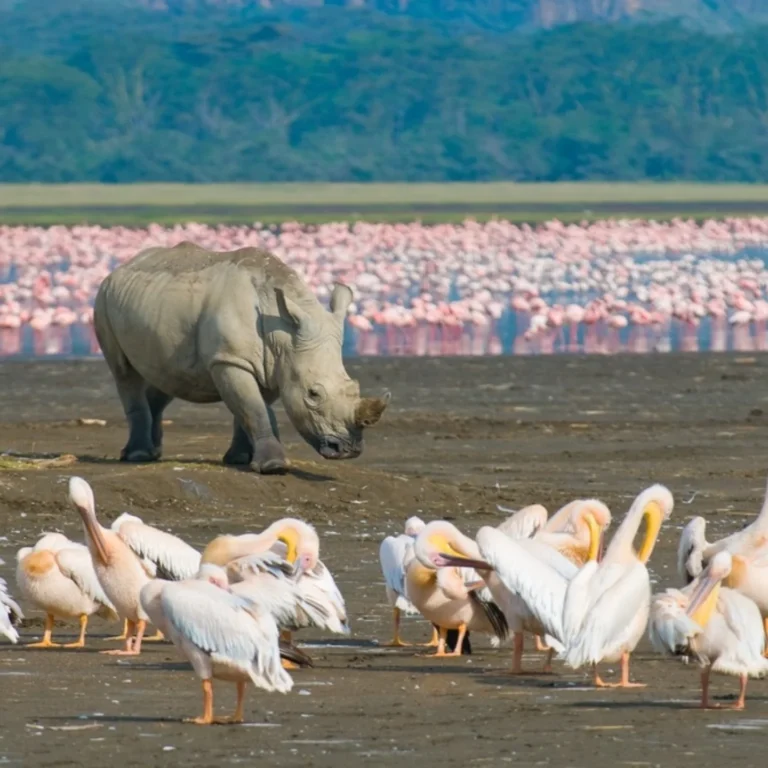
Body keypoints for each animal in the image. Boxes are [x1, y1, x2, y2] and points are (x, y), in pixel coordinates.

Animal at [93, 241, 390, 474]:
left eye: (354, 388)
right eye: (313, 394)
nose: (348, 449)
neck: (282, 334)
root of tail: (122, 266)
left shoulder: (274, 365)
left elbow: (251, 408)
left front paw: (240, 459)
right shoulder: (230, 359)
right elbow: (252, 407)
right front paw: (273, 467)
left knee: (167, 376)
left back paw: (152, 454)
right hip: (103, 299)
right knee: (125, 373)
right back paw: (138, 456)